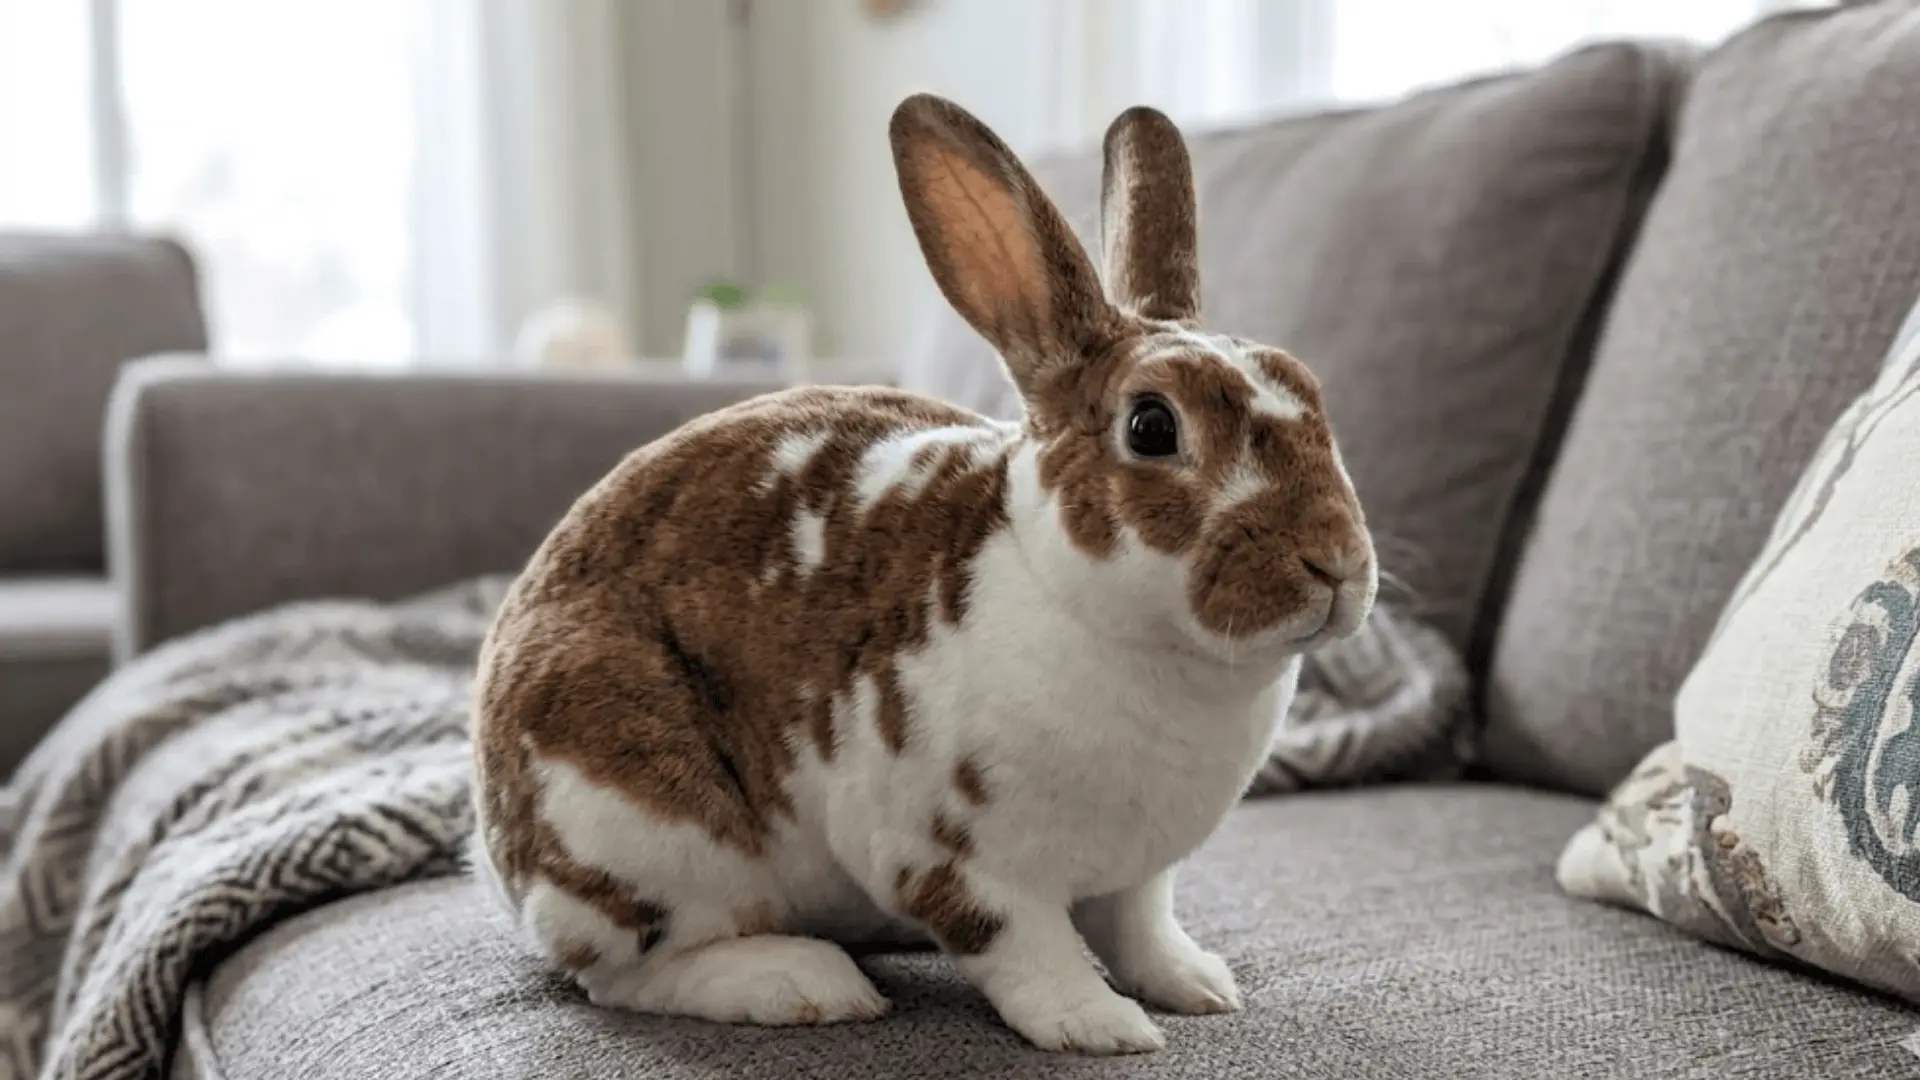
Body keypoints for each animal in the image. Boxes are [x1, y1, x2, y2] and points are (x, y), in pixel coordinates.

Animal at [469, 92, 1376, 1056]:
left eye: (1308, 387)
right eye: (1153, 426)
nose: (1335, 564)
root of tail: (498, 857)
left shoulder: (1138, 874)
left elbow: (1141, 929)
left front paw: (1199, 987)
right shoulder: (958, 860)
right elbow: (1027, 952)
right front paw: (1101, 1027)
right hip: (644, 820)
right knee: (627, 972)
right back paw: (806, 984)